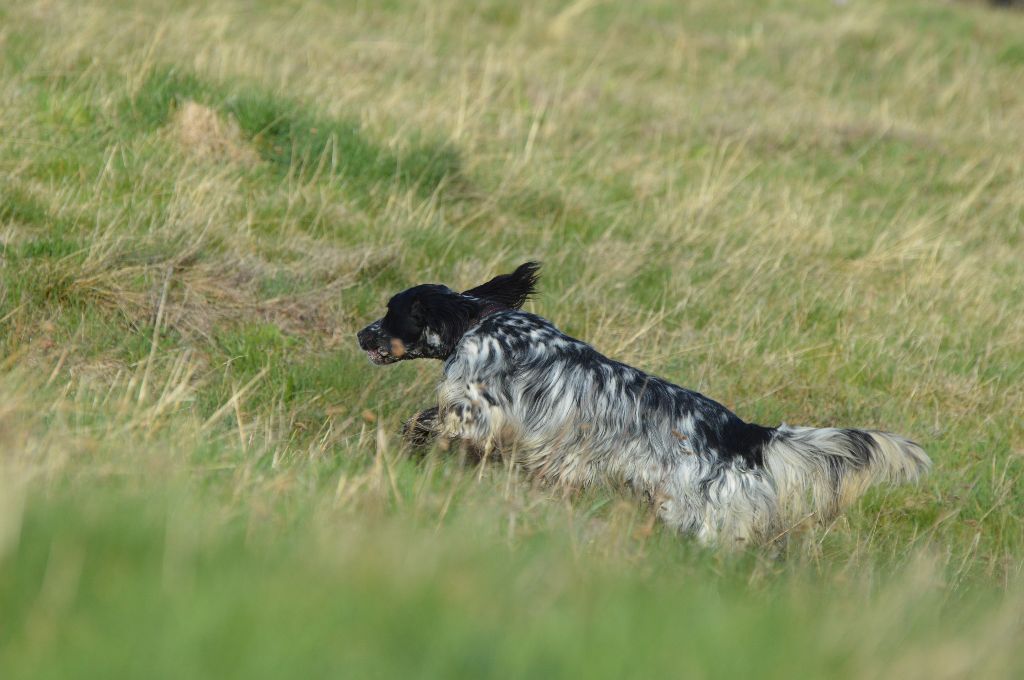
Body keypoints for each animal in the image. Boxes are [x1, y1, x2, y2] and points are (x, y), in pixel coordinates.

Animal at [356, 261, 933, 548]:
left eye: (392, 313)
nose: (361, 335)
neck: (478, 322)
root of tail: (747, 433)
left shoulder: (477, 410)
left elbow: (430, 422)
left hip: (696, 515)